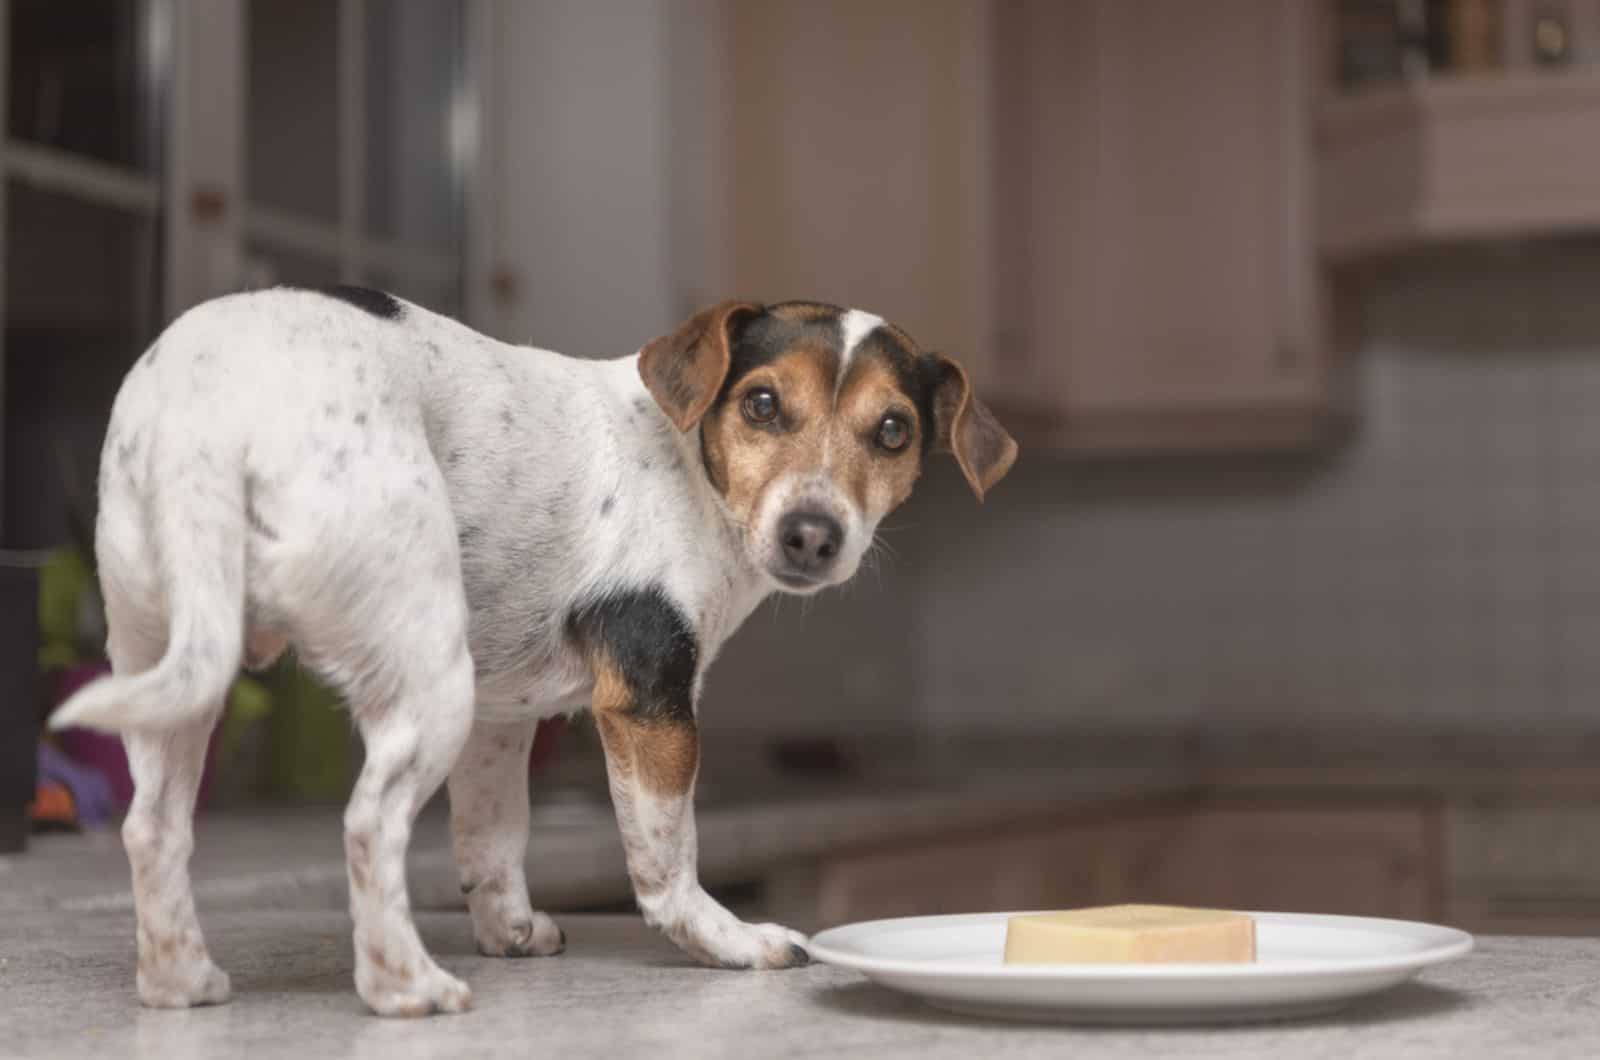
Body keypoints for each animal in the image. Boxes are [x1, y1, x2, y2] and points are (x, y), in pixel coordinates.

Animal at [59, 286, 1024, 1018]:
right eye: (760, 403)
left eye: (893, 431)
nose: (812, 535)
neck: (688, 464)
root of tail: (214, 418)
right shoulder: (649, 705)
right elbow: (667, 859)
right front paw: (728, 942)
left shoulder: (499, 720)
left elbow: (493, 838)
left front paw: (511, 931)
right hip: (426, 676)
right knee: (369, 825)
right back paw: (406, 989)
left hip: (175, 664)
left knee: (154, 828)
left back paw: (180, 980)